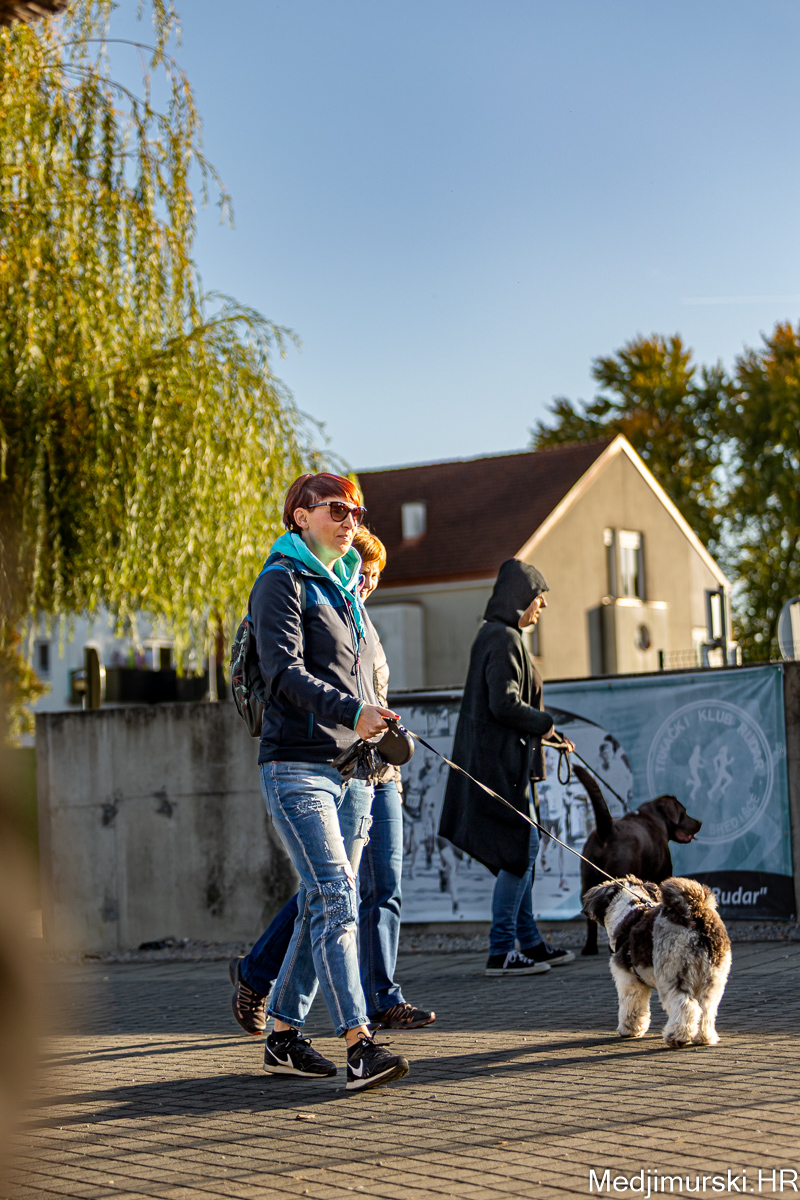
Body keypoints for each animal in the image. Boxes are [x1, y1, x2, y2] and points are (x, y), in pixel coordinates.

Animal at [574, 765, 702, 955]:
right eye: (684, 812)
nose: (699, 822)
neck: (654, 817)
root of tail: (607, 830)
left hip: (587, 880)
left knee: (590, 919)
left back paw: (590, 948)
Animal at [582, 874, 731, 1047]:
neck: (627, 912)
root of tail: (694, 914)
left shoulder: (628, 980)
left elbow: (631, 1006)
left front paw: (630, 1029)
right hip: (713, 980)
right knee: (706, 1009)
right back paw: (704, 1038)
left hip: (673, 976)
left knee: (686, 1006)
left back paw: (677, 1037)